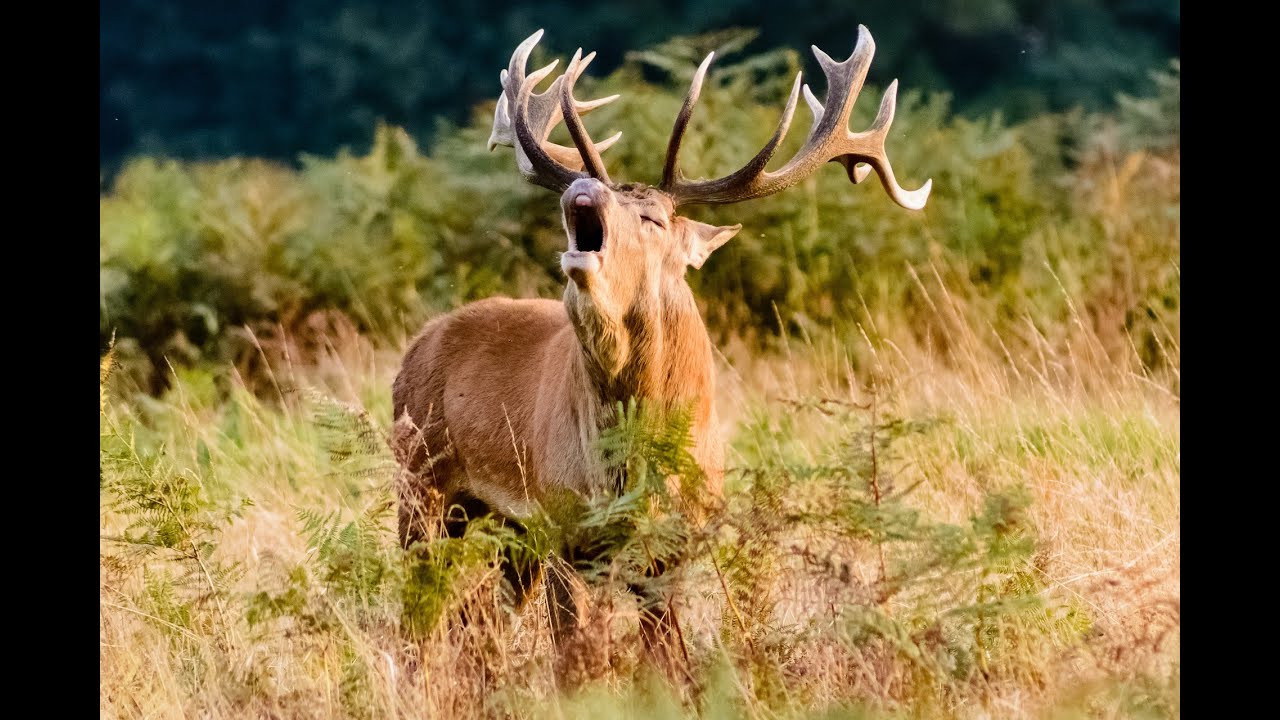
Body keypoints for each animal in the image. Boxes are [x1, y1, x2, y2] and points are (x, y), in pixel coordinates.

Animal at [390, 25, 930, 682]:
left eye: (650, 217)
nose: (581, 188)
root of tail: (414, 347)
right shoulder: (564, 522)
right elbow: (574, 662)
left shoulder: (674, 544)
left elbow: (670, 662)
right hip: (421, 485)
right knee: (422, 616)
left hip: (502, 529)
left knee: (474, 622)